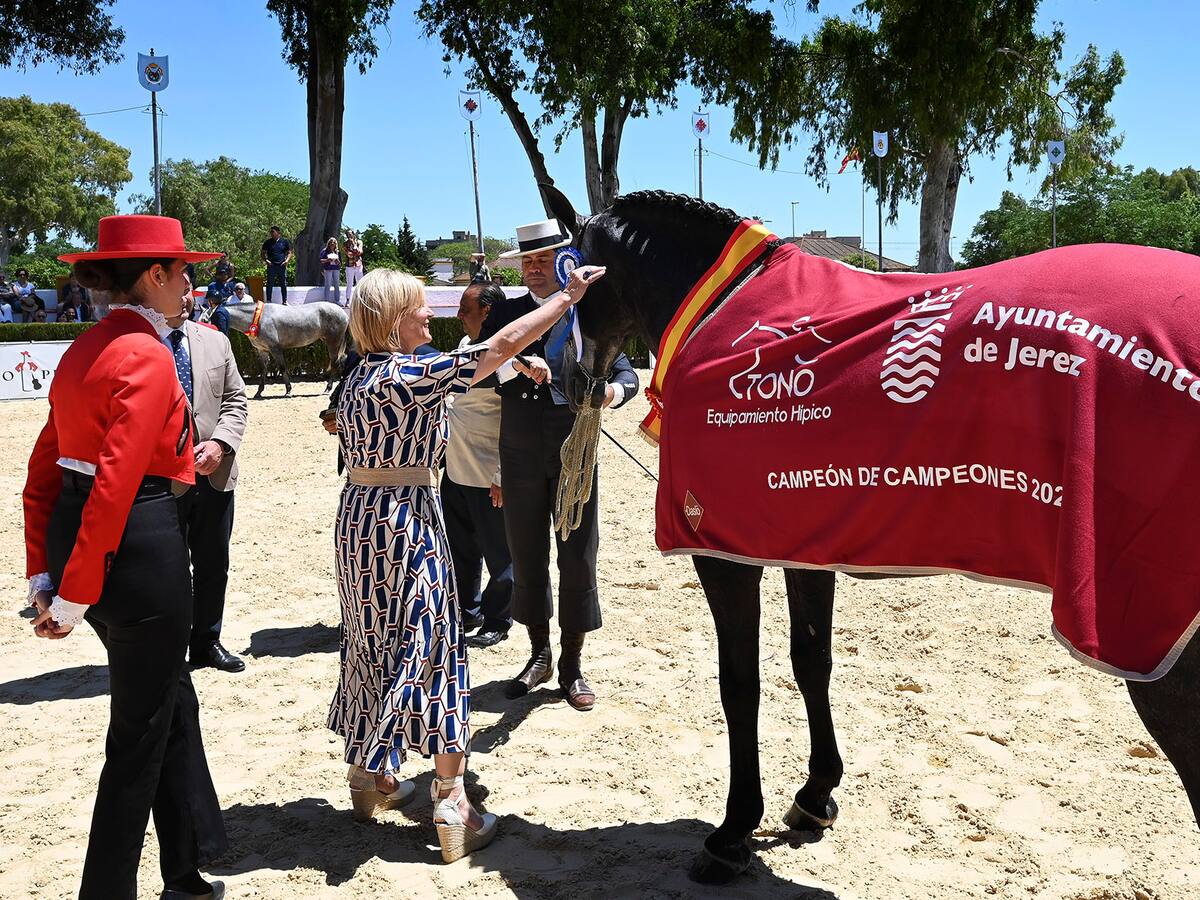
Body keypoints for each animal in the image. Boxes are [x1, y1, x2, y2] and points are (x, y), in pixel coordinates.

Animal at [221, 300, 350, 398]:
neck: (258, 319)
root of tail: (343, 313)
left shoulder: (275, 349)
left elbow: (282, 368)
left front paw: (288, 391)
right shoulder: (262, 350)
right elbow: (263, 370)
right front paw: (258, 392)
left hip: (333, 342)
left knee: (335, 363)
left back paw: (328, 389)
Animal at [540, 184, 1200, 884]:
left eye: (573, 281)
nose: (563, 376)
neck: (722, 305)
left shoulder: (724, 553)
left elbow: (739, 682)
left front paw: (733, 831)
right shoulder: (796, 541)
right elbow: (812, 662)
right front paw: (815, 795)